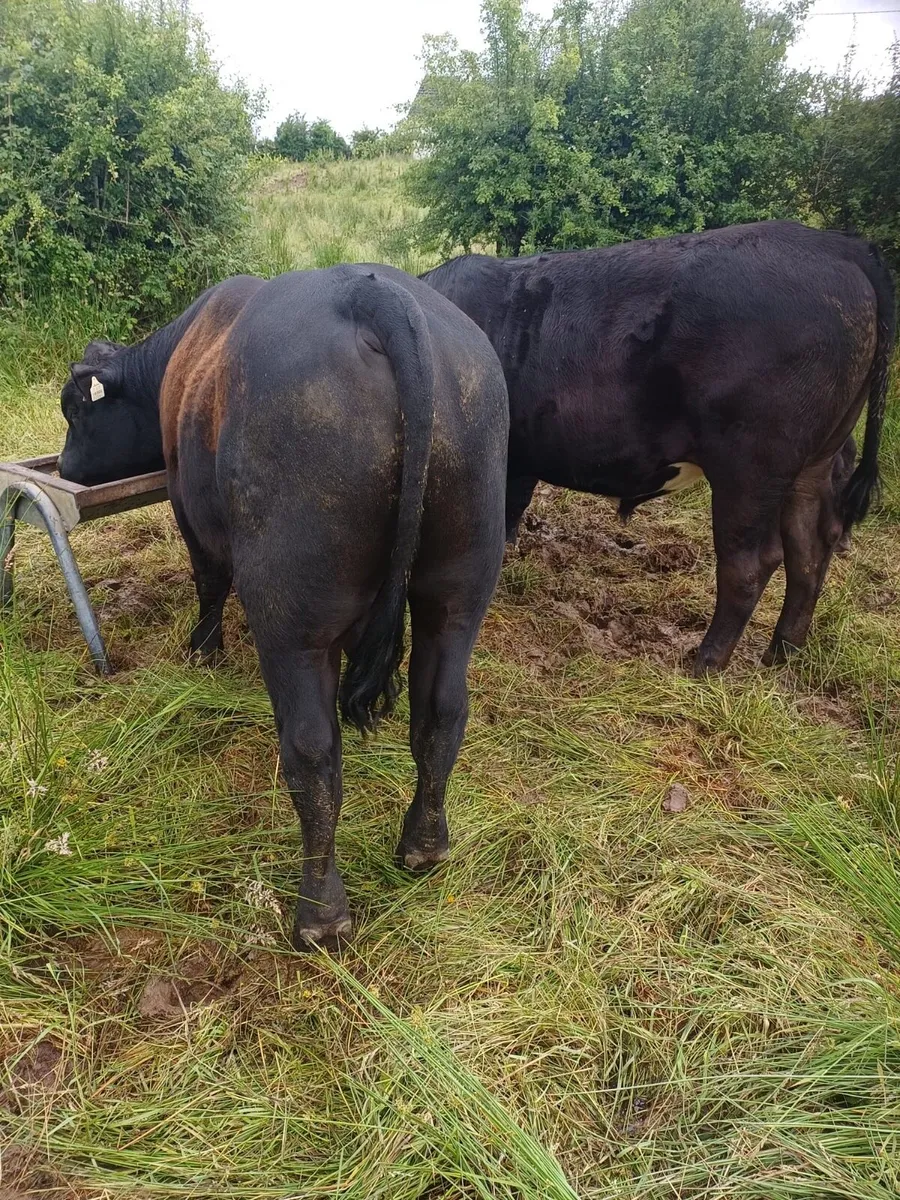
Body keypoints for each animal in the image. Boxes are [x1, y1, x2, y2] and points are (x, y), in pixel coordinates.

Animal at [58, 265, 509, 948]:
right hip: (457, 591)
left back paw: (319, 913)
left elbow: (209, 582)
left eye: (76, 409)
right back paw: (425, 845)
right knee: (441, 712)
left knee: (312, 752)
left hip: (293, 620)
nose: (62, 466)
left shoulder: (190, 509)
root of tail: (369, 291)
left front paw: (204, 650)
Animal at [423, 221, 895, 673]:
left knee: (750, 565)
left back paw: (706, 663)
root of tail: (839, 246)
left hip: (751, 467)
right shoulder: (519, 460)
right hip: (813, 463)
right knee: (808, 551)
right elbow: (509, 516)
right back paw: (782, 653)